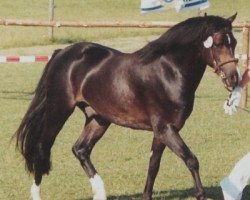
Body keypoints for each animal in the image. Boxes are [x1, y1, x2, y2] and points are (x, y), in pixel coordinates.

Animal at [16, 13, 239, 199]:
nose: (233, 78)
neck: (169, 72)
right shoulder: (165, 128)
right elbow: (191, 159)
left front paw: (146, 196)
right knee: (42, 148)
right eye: (217, 43)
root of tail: (62, 53)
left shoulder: (162, 131)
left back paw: (100, 192)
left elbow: (153, 165)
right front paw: (201, 194)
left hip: (98, 119)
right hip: (59, 110)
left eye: (234, 42)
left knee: (80, 149)